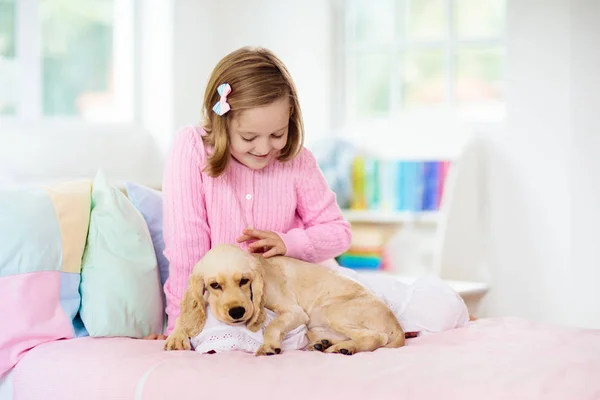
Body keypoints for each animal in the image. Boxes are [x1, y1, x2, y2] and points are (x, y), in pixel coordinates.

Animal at [164, 244, 406, 356]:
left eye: (244, 281)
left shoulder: (295, 312)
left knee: (376, 337)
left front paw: (269, 346)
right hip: (316, 324)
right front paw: (177, 335)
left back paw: (344, 348)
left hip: (328, 311)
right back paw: (324, 344)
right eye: (214, 285)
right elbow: (184, 315)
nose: (237, 313)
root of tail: (397, 326)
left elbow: (273, 325)